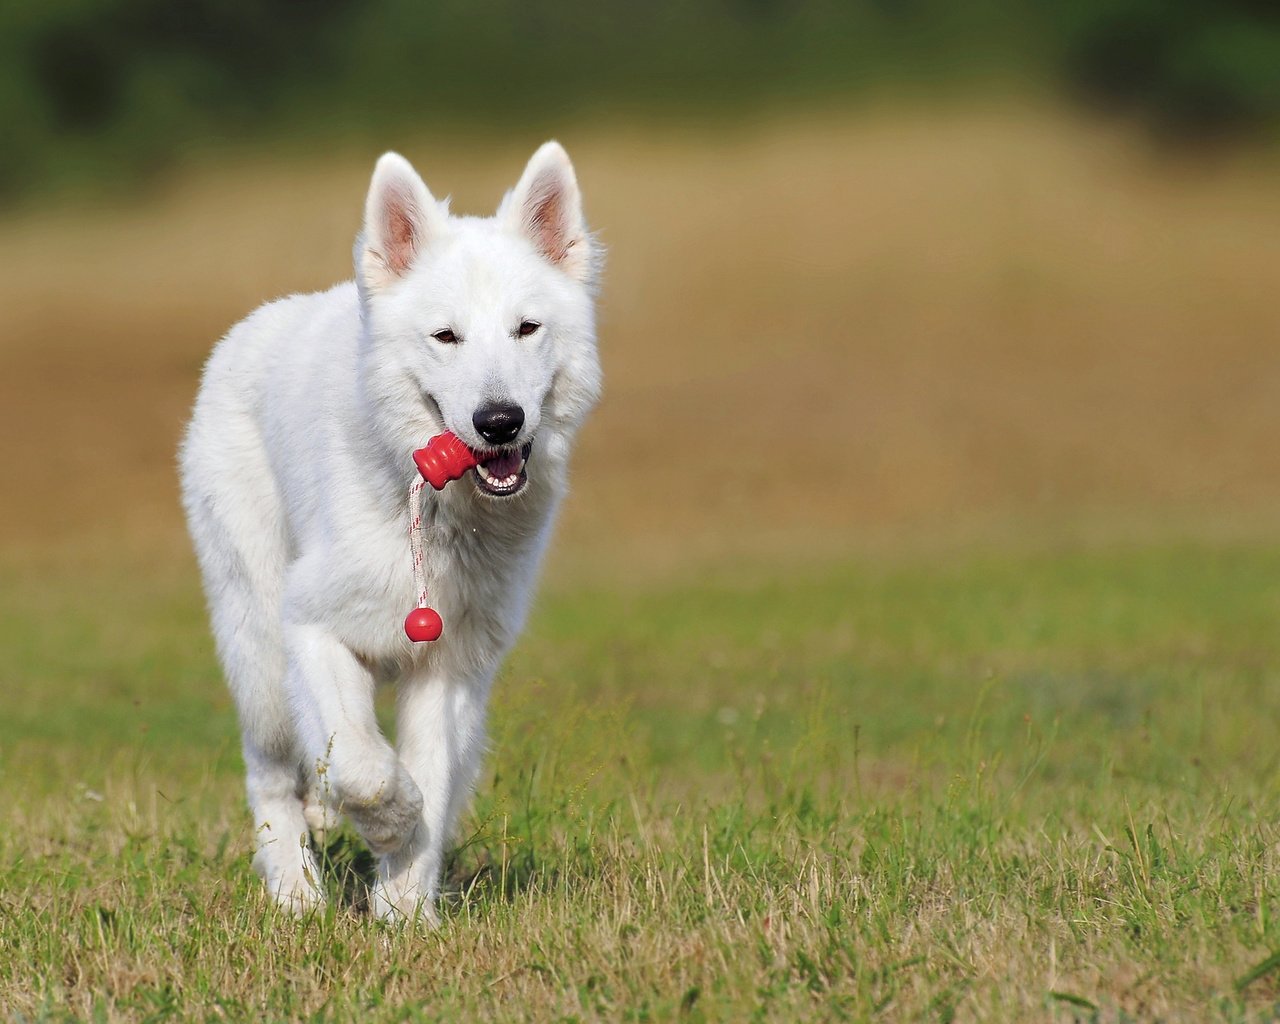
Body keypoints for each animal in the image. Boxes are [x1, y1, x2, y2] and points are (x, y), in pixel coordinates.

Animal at [180, 142, 604, 921]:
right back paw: (296, 894)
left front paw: (405, 911)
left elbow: (429, 775)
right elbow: (364, 766)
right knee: (271, 773)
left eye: (526, 329)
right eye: (446, 337)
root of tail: (251, 328)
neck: (435, 512)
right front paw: (388, 824)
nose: (500, 422)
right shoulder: (311, 627)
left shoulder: (451, 667)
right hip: (258, 650)